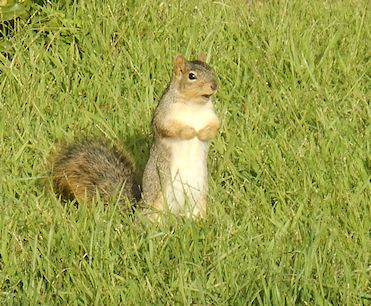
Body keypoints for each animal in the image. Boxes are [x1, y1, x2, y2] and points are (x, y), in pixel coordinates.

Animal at [52, 53, 221, 219]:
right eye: (192, 76)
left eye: (211, 69)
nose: (214, 85)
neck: (194, 106)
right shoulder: (163, 115)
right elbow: (169, 128)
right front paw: (191, 131)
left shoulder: (211, 117)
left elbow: (215, 127)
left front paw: (202, 133)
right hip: (156, 205)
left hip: (199, 203)